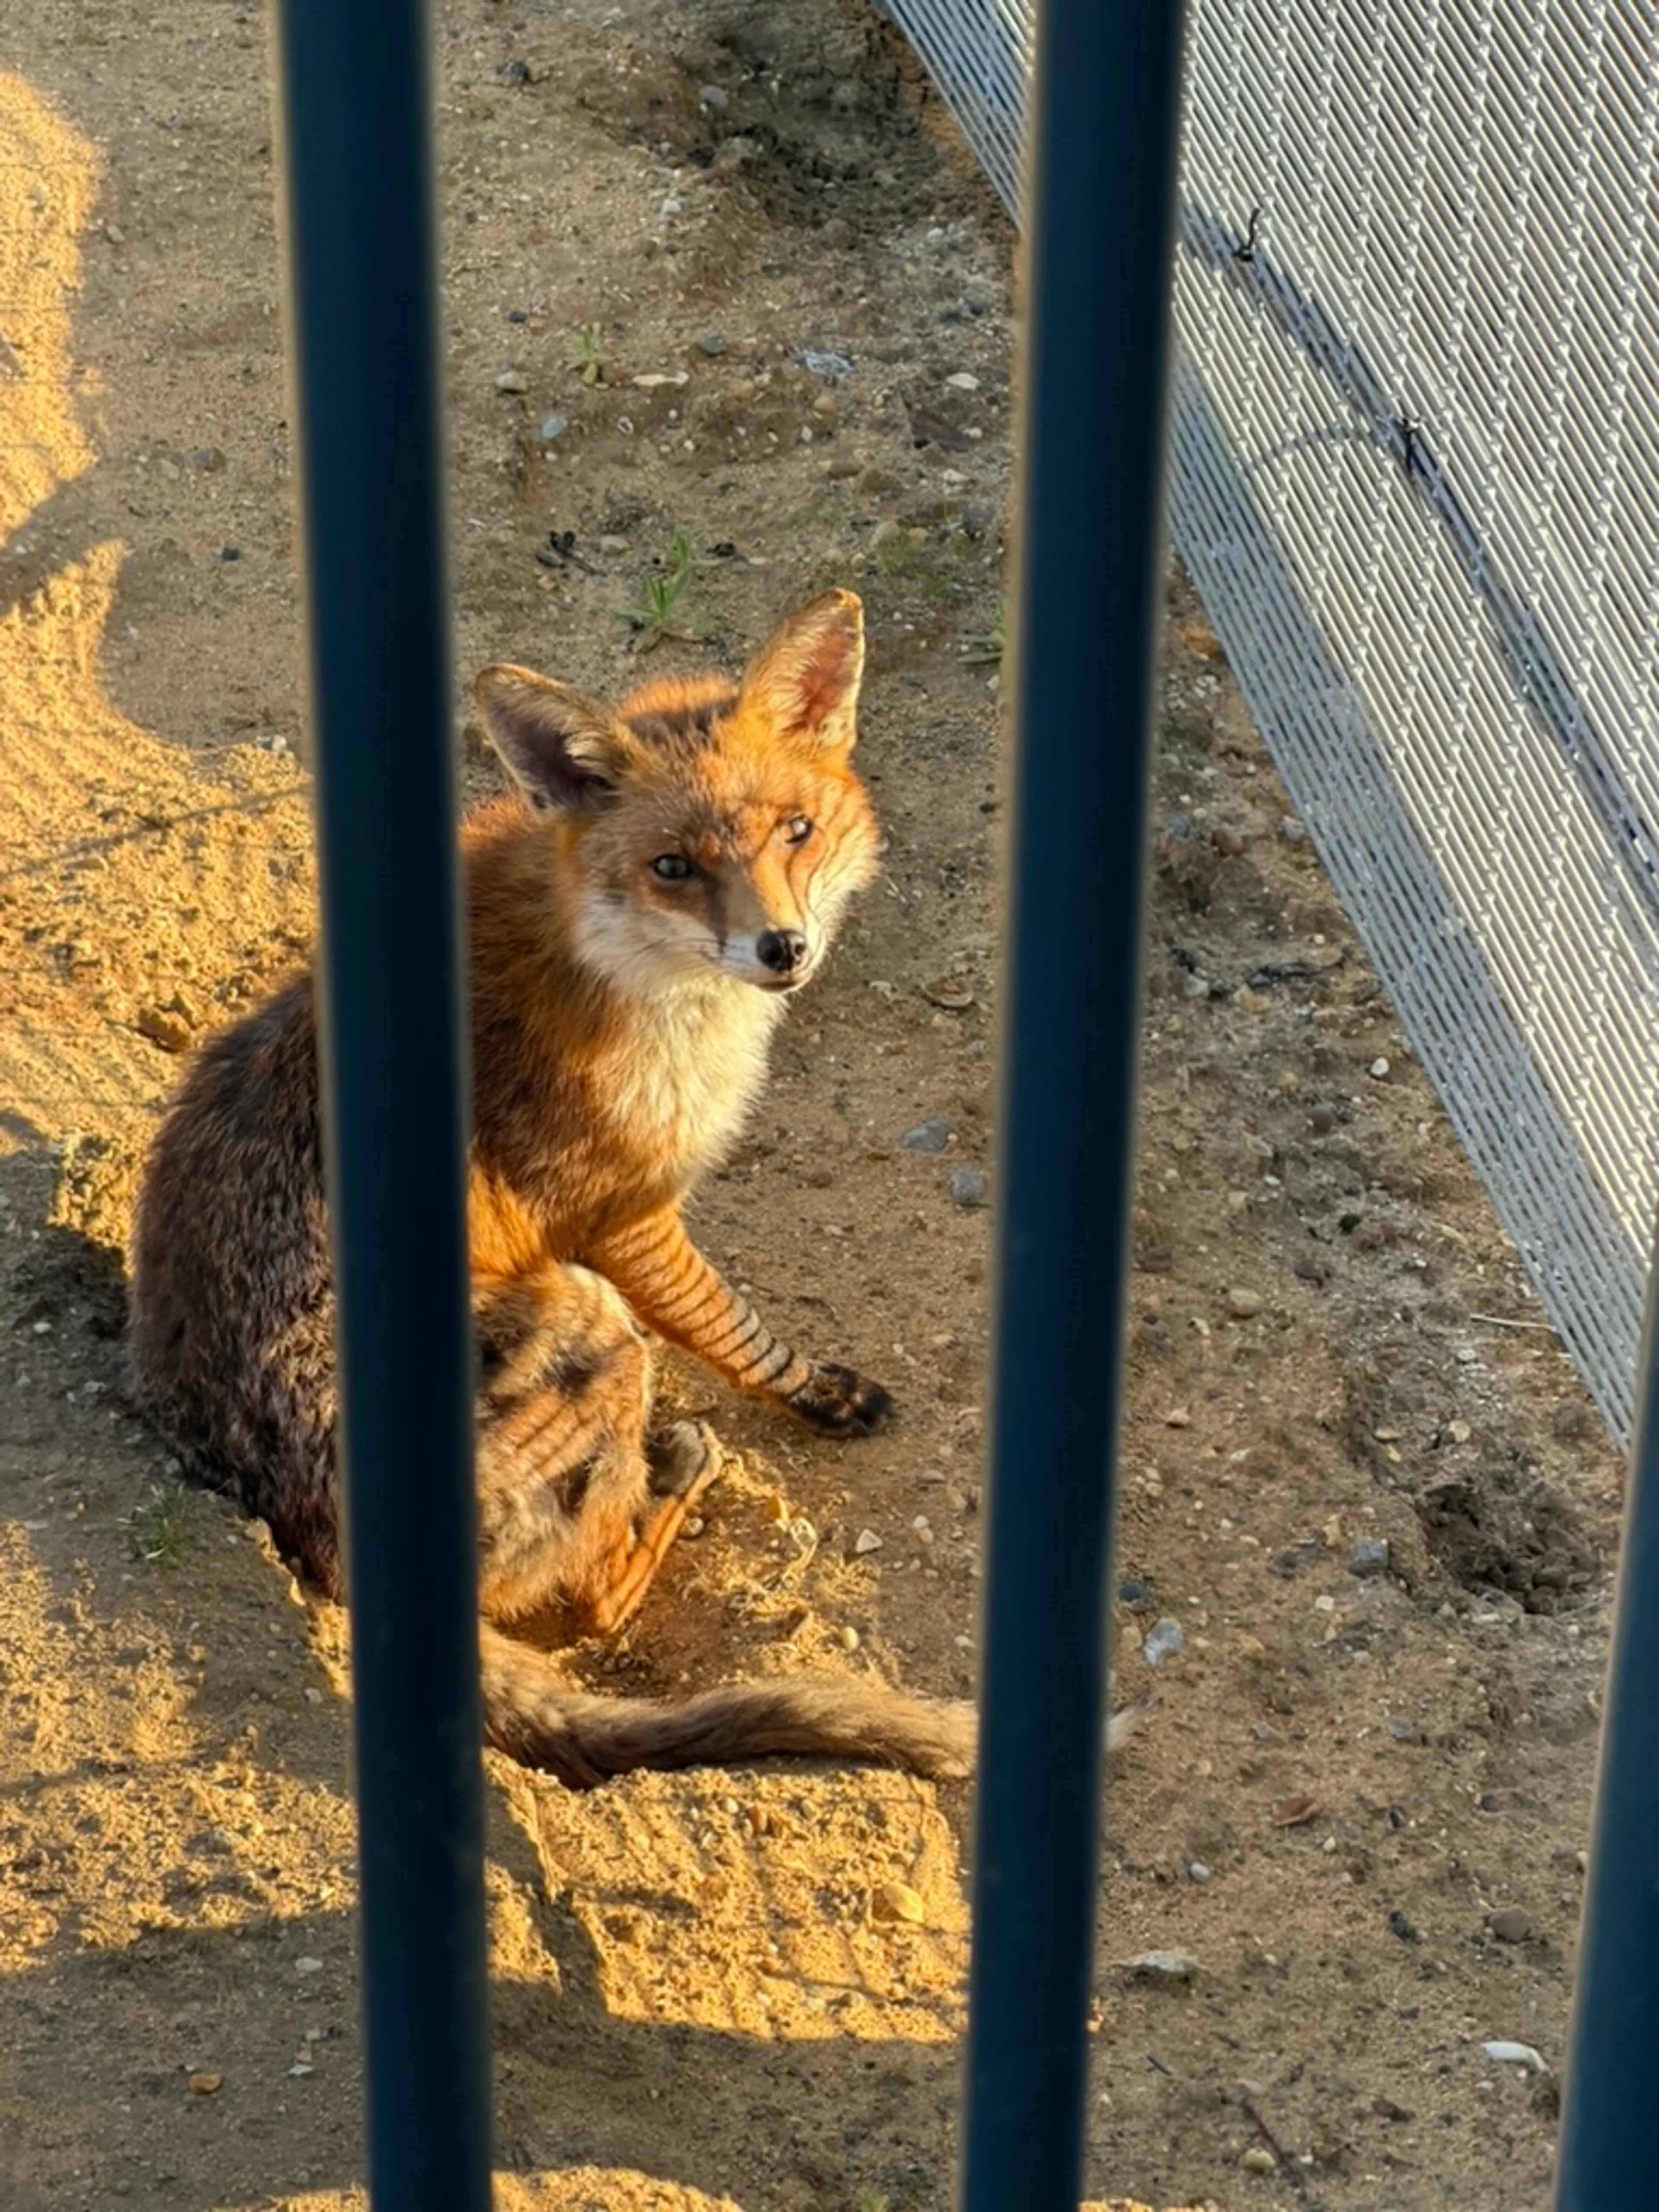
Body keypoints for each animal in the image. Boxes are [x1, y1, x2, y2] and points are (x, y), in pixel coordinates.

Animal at [125, 589, 984, 1789]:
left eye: (795, 833)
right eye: (673, 867)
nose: (783, 948)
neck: (611, 960)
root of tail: (318, 1551)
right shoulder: (619, 1215)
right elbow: (732, 1328)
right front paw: (819, 1393)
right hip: (593, 1320)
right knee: (589, 1609)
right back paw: (673, 1486)